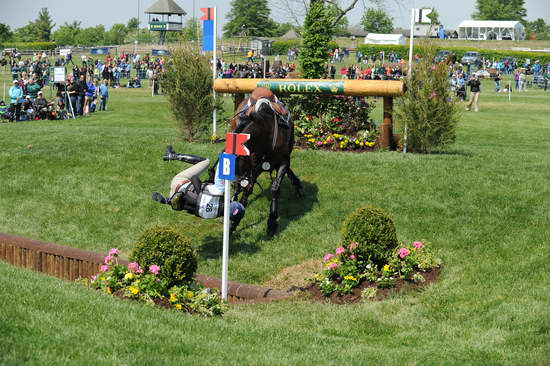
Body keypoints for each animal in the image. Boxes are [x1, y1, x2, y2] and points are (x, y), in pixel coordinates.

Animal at [230, 86, 304, 234]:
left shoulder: (283, 161)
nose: (235, 183)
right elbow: (248, 190)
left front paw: (272, 222)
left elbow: (275, 187)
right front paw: (234, 222)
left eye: (239, 161)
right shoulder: (255, 167)